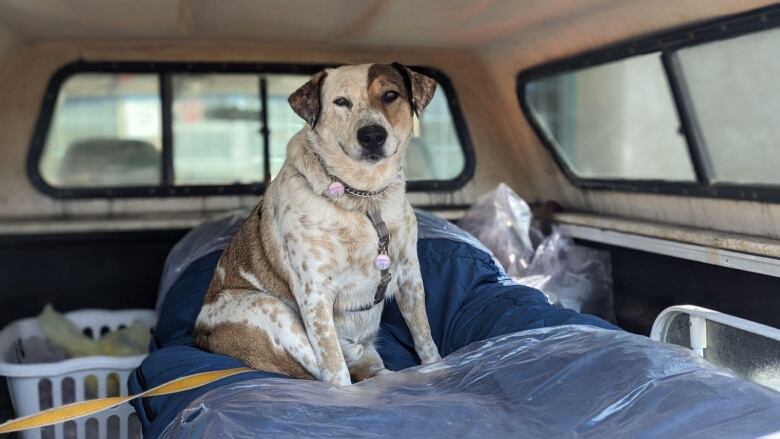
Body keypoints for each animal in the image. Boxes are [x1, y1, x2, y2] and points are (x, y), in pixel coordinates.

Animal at [193, 63, 442, 386]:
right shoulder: (315, 294)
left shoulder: (410, 275)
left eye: (390, 95)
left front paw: (438, 369)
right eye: (341, 102)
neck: (364, 199)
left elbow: (425, 338)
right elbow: (335, 369)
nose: (372, 135)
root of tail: (199, 335)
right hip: (270, 308)